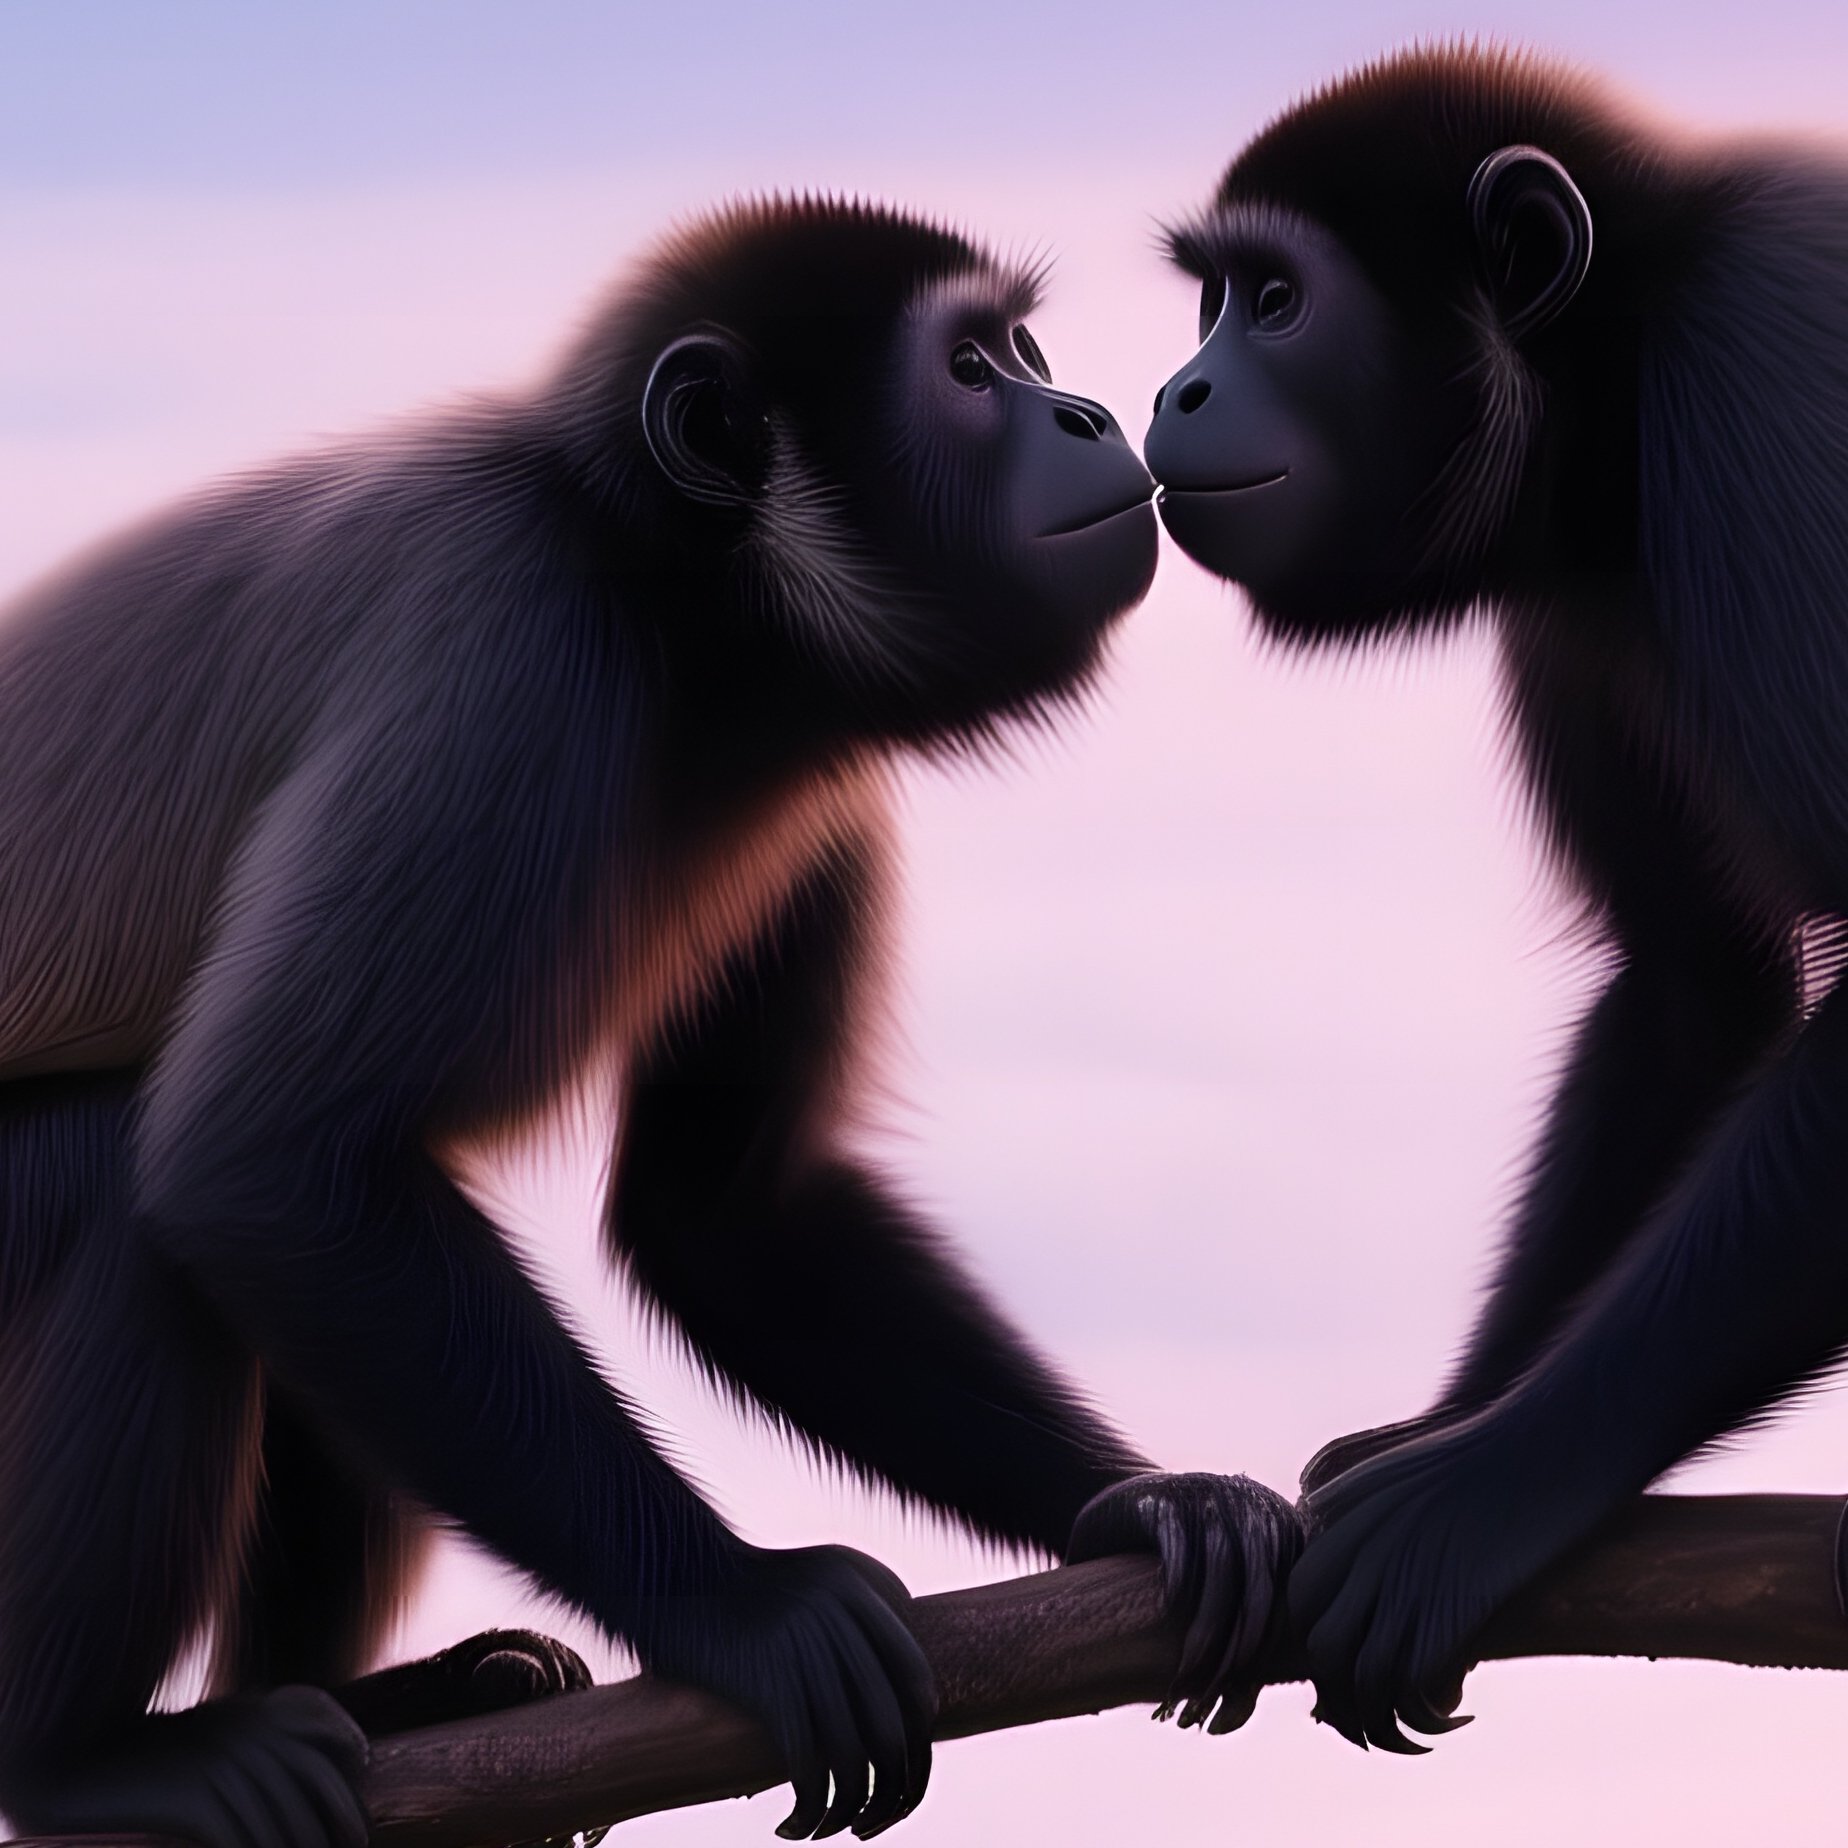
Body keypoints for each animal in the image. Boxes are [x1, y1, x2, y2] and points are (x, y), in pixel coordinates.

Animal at [0, 196, 1302, 1846]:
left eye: (1027, 352)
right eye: (970, 369)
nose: (1084, 411)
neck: (677, 611)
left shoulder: (817, 786)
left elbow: (729, 1217)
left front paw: (1138, 1504)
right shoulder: (515, 633)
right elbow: (262, 1162)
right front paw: (745, 1612)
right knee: (129, 1179)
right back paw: (81, 1760)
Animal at [1142, 41, 1848, 1753]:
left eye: (1273, 301)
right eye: (1209, 303)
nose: (1174, 391)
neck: (1625, 342)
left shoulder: (1766, 364)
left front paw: (1472, 1496)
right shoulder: (1575, 557)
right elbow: (1696, 979)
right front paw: (1448, 1426)